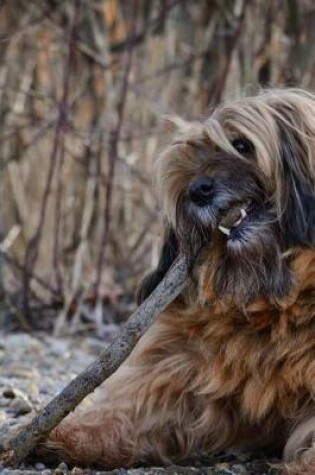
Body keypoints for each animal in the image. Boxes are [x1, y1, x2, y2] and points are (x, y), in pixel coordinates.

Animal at [43, 88, 315, 472]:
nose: (197, 190)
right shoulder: (180, 360)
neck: (272, 302)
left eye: (241, 144)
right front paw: (75, 432)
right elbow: (141, 401)